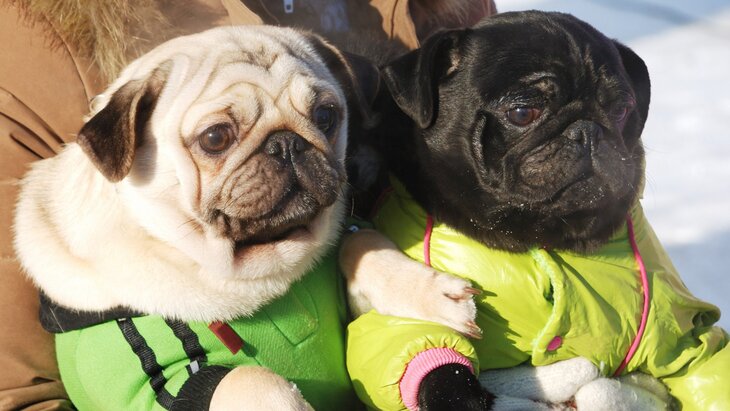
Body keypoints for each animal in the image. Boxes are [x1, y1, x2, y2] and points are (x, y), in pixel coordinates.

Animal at [342, 11, 727, 410]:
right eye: (523, 112)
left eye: (621, 110)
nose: (588, 130)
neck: (539, 236)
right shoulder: (404, 324)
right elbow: (437, 368)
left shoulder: (679, 332)